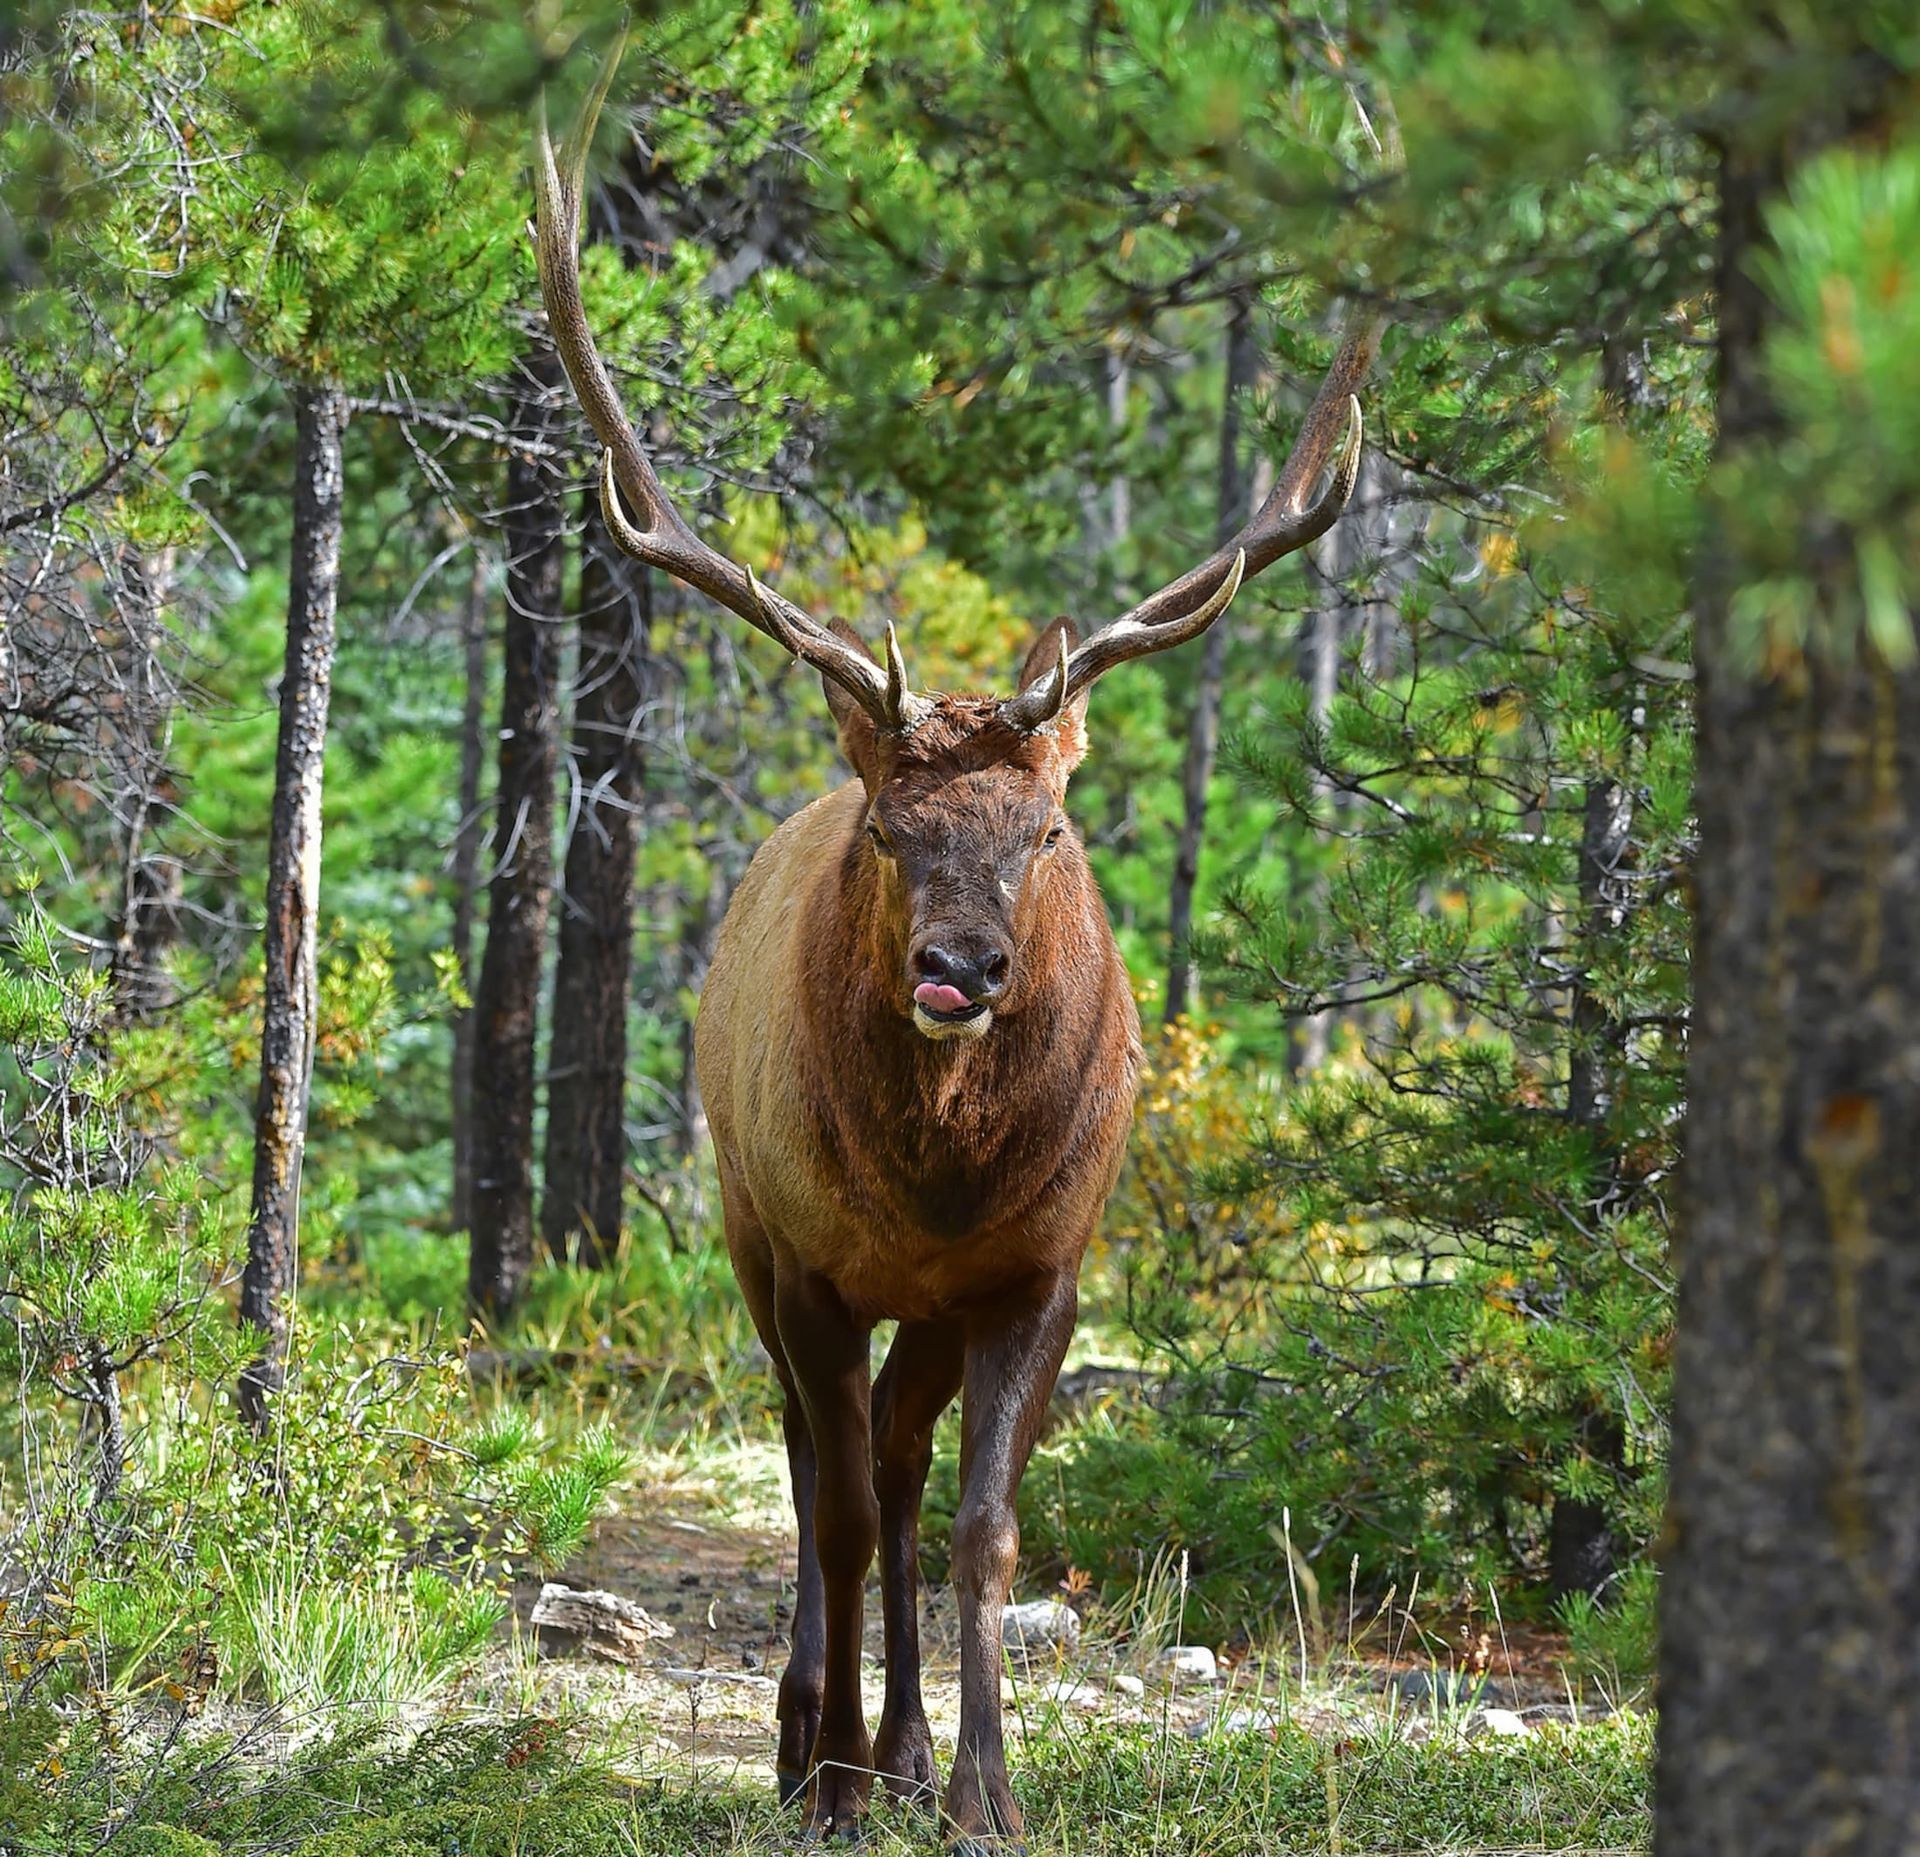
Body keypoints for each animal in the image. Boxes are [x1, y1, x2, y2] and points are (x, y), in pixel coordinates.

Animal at [533, 49, 1378, 1853]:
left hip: (917, 1304)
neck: (934, 1180)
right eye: (887, 831)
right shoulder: (803, 1252)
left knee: (904, 1466)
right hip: (749, 1226)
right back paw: (814, 1737)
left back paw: (909, 1742)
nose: (962, 969)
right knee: (816, 1460)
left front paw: (984, 1784)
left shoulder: (1040, 1262)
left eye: (1044, 833)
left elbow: (986, 1523)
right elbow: (837, 1506)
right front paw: (835, 1776)